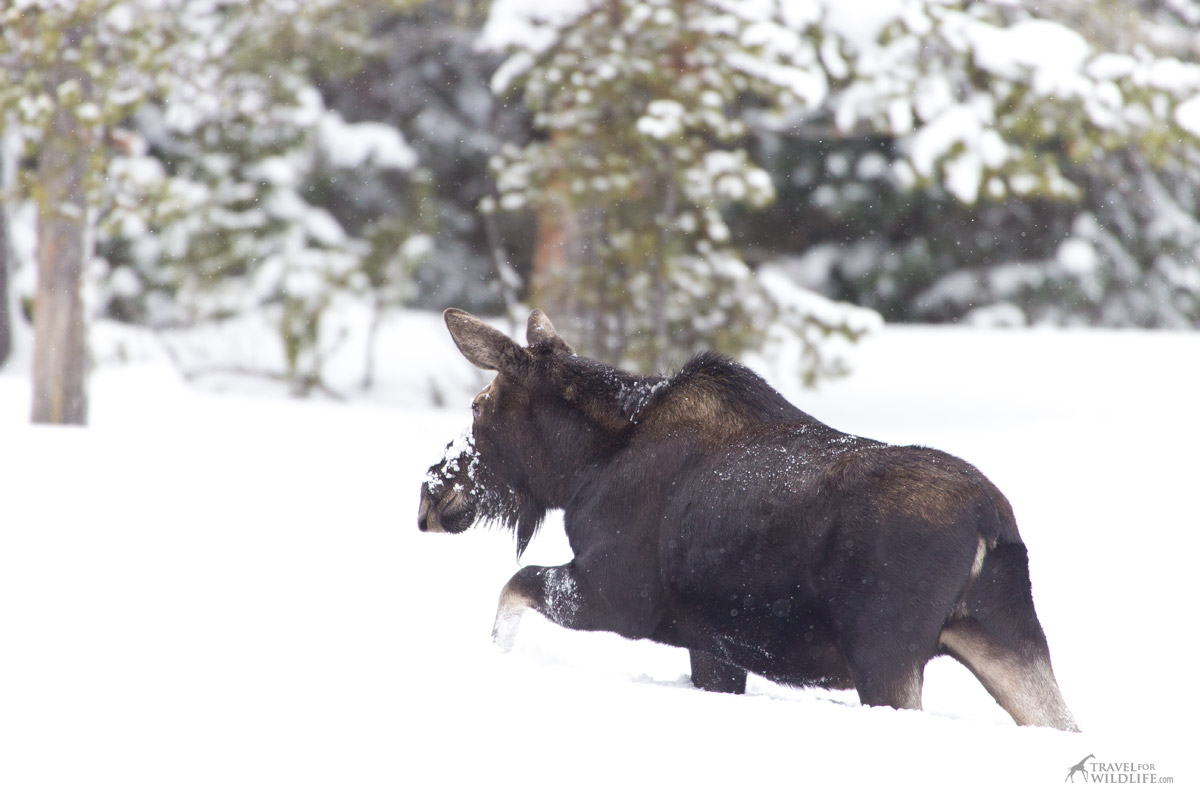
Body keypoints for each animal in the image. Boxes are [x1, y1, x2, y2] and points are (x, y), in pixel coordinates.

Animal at [417, 309, 1084, 734]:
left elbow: (511, 590)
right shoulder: (713, 646)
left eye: (478, 406)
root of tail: (992, 524)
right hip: (1006, 636)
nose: (430, 495)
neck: (579, 467)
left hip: (885, 653)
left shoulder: (616, 596)